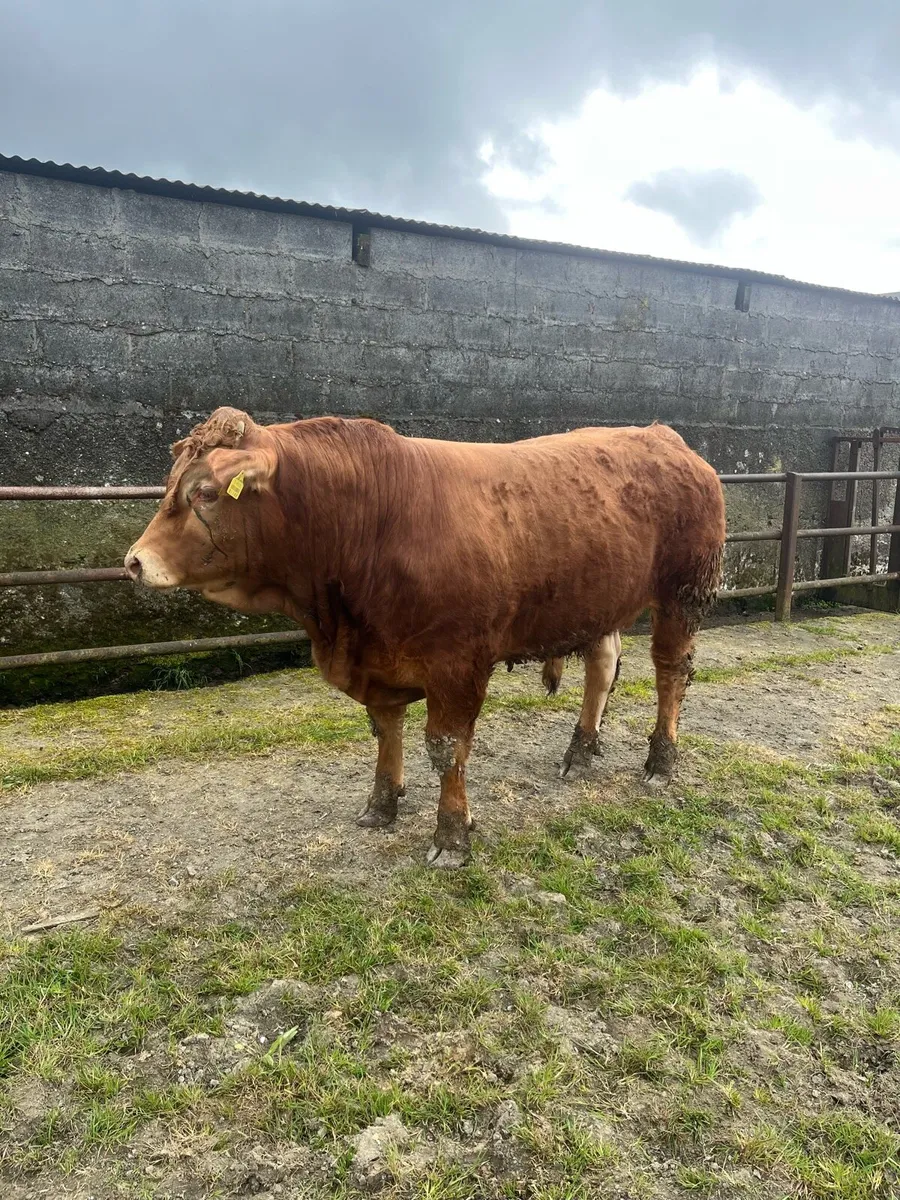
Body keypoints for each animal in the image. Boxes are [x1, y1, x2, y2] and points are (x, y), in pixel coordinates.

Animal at [125, 409, 726, 869]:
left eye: (205, 491)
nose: (134, 561)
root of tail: (666, 437)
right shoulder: (378, 659)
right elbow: (386, 730)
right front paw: (382, 803)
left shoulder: (458, 665)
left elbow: (445, 748)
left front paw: (452, 835)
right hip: (596, 602)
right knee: (603, 665)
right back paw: (580, 753)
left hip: (683, 592)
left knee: (671, 672)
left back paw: (661, 761)